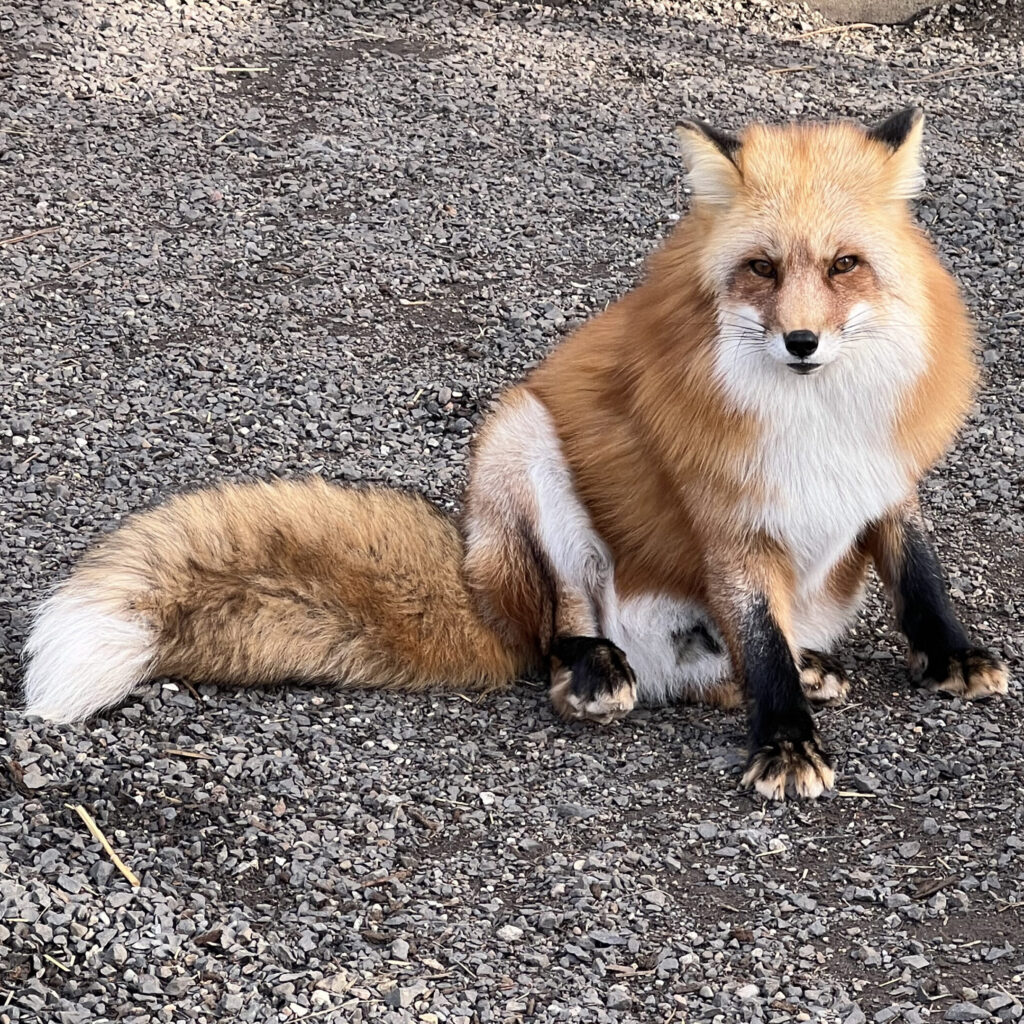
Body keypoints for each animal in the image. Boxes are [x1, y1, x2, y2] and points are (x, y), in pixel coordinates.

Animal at [22, 108, 1009, 800]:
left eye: (845, 264)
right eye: (762, 268)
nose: (802, 342)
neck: (815, 418)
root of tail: (480, 589)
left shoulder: (885, 479)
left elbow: (917, 574)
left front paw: (951, 655)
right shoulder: (727, 519)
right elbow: (759, 641)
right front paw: (786, 742)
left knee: (710, 675)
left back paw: (805, 670)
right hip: (521, 444)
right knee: (563, 644)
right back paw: (598, 670)